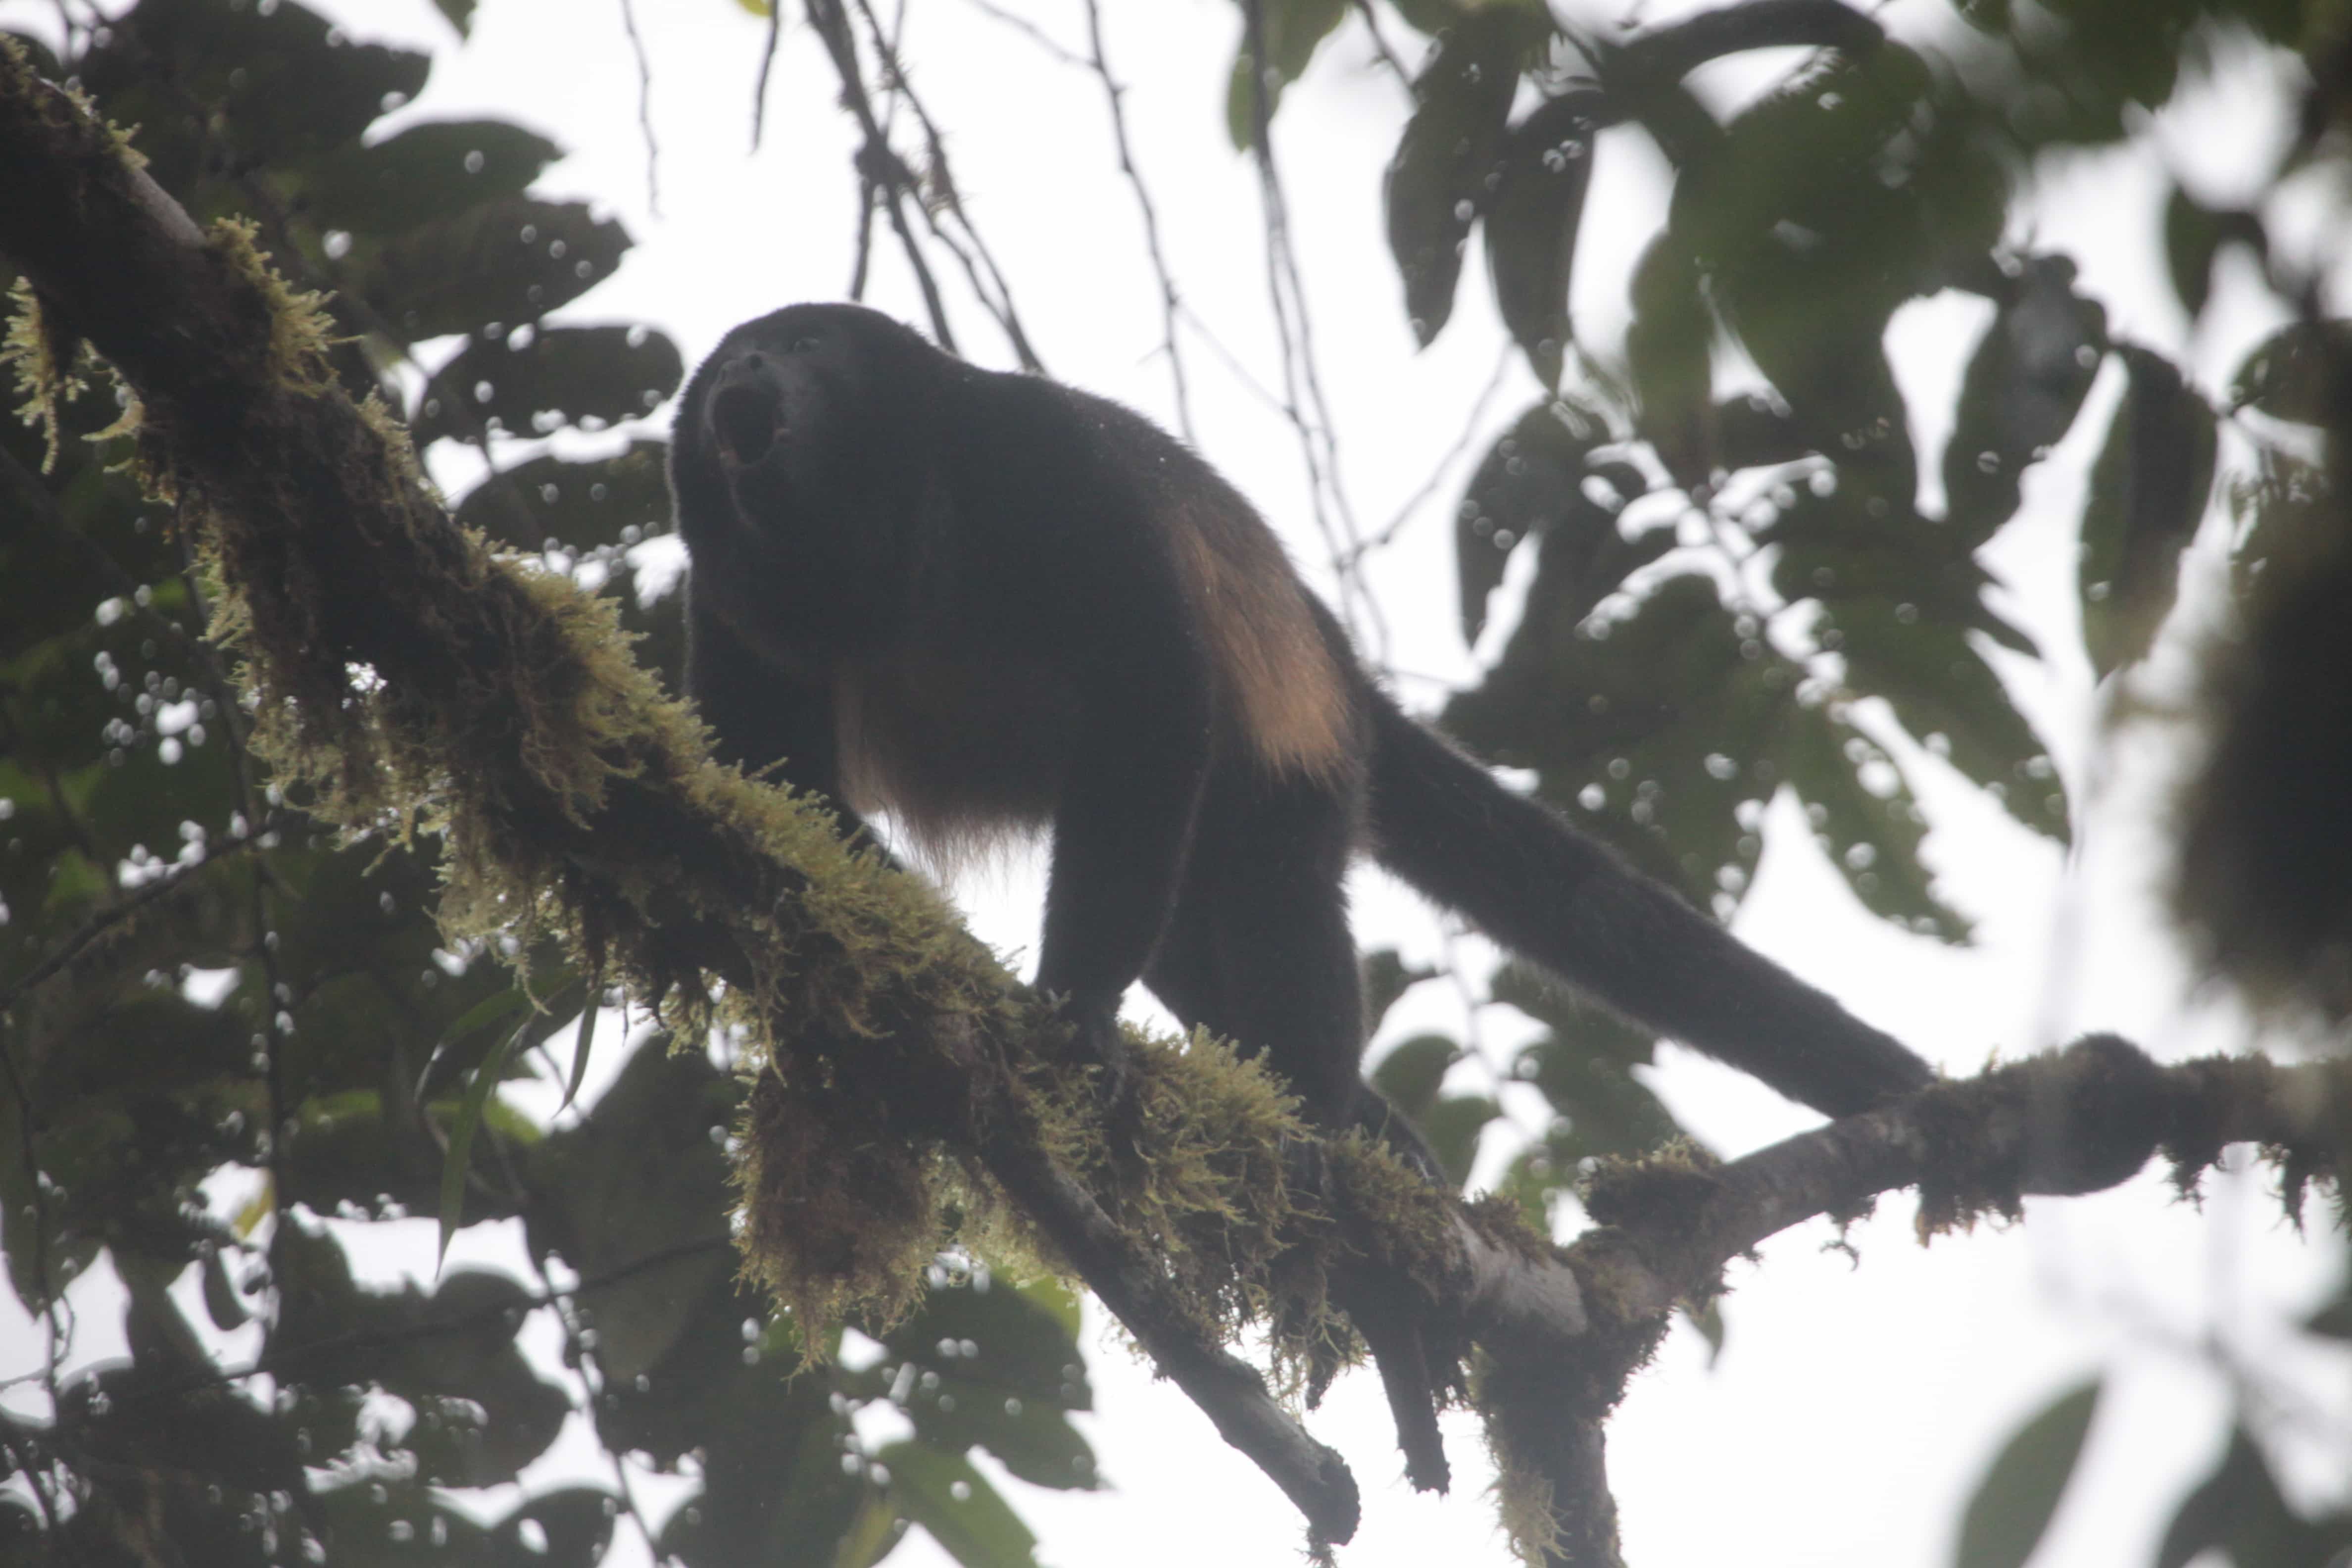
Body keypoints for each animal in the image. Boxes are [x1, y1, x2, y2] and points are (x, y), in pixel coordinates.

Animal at [673, 303, 1938, 1152]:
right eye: (732, 354)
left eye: (803, 343)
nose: (742, 364)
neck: (878, 536)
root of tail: (1343, 667)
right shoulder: (724, 590)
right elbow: (771, 775)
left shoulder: (1034, 461)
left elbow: (1151, 687)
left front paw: (1076, 1009)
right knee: (1189, 937)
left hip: (1297, 751)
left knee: (1276, 892)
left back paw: (1322, 1118)